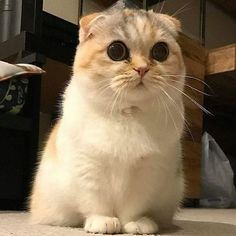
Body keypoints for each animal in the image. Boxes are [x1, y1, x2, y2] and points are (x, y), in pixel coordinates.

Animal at [29, 7, 185, 234]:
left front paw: (135, 223)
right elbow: (96, 201)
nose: (142, 68)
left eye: (160, 51)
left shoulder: (149, 170)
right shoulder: (88, 166)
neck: (127, 115)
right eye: (116, 51)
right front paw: (103, 222)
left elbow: (135, 205)